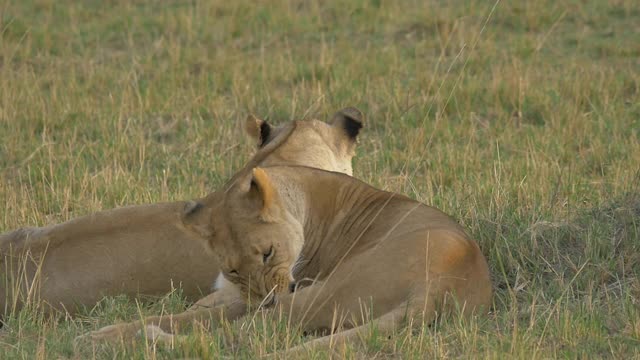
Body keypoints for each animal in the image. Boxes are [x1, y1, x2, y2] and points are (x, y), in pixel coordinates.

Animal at [86, 164, 490, 358]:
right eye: (233, 269)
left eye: (267, 253)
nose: (266, 299)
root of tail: (443, 282)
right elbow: (190, 313)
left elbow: (202, 319)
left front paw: (108, 334)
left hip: (327, 289)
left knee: (243, 336)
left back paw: (145, 339)